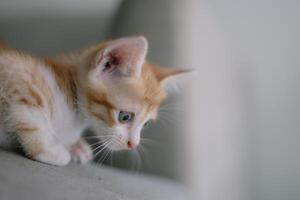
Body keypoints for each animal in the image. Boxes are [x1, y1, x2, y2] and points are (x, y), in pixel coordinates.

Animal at [0, 37, 188, 166]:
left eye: (147, 124)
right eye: (124, 117)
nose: (133, 144)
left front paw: (77, 147)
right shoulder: (18, 74)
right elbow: (31, 114)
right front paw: (47, 150)